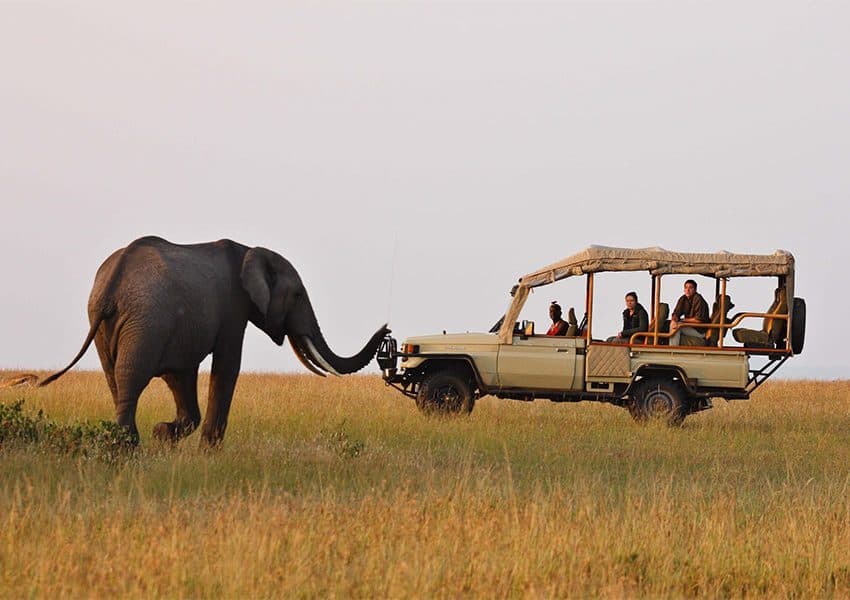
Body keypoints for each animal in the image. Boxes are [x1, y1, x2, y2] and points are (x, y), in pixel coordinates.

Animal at [40, 236, 389, 447]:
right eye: (299, 295)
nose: (386, 330)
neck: (250, 250)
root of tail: (111, 283)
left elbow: (180, 375)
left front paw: (163, 435)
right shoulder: (234, 307)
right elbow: (227, 367)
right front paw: (207, 450)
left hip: (110, 324)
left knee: (115, 378)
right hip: (146, 320)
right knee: (130, 379)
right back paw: (129, 450)